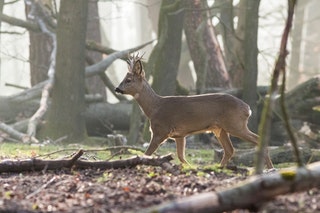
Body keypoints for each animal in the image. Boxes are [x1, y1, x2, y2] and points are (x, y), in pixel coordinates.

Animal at [115, 54, 272, 169]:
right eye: (124, 78)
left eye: (128, 80)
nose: (117, 88)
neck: (154, 108)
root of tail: (248, 109)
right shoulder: (179, 135)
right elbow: (181, 156)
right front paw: (191, 168)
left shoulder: (160, 130)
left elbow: (147, 153)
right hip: (220, 129)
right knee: (230, 150)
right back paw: (219, 167)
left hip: (235, 124)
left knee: (256, 139)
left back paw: (269, 168)